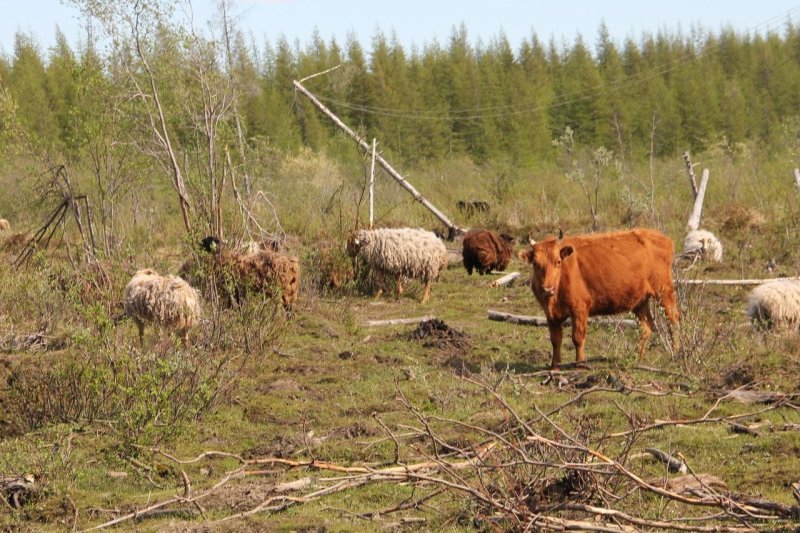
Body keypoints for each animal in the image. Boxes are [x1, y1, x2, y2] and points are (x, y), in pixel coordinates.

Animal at [520, 227, 680, 368]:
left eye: (558, 261)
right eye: (535, 264)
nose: (548, 289)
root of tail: (664, 239)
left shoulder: (579, 309)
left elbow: (578, 338)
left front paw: (580, 364)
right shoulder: (550, 315)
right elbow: (555, 340)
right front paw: (554, 367)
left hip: (663, 291)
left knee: (673, 320)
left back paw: (676, 354)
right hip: (640, 301)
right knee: (646, 327)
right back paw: (637, 359)